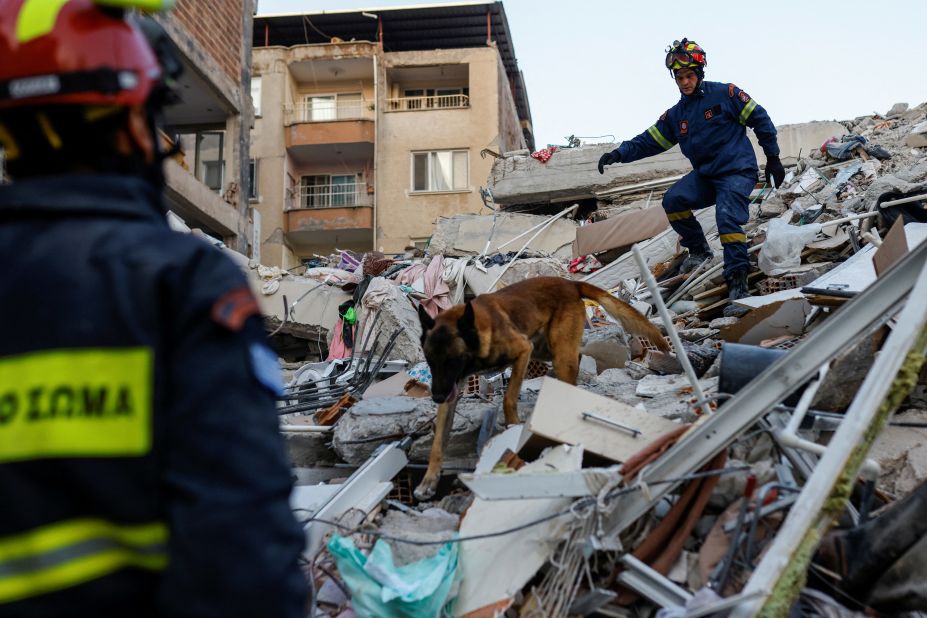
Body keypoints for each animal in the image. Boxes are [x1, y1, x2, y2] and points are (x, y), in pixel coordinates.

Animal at [416, 276, 672, 498]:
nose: (436, 397)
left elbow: (509, 396)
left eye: (453, 361)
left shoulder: (522, 350)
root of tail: (570, 283)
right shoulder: (453, 387)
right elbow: (438, 441)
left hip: (555, 352)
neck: (477, 331)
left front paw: (513, 427)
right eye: (430, 362)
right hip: (546, 350)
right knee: (577, 357)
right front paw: (428, 480)